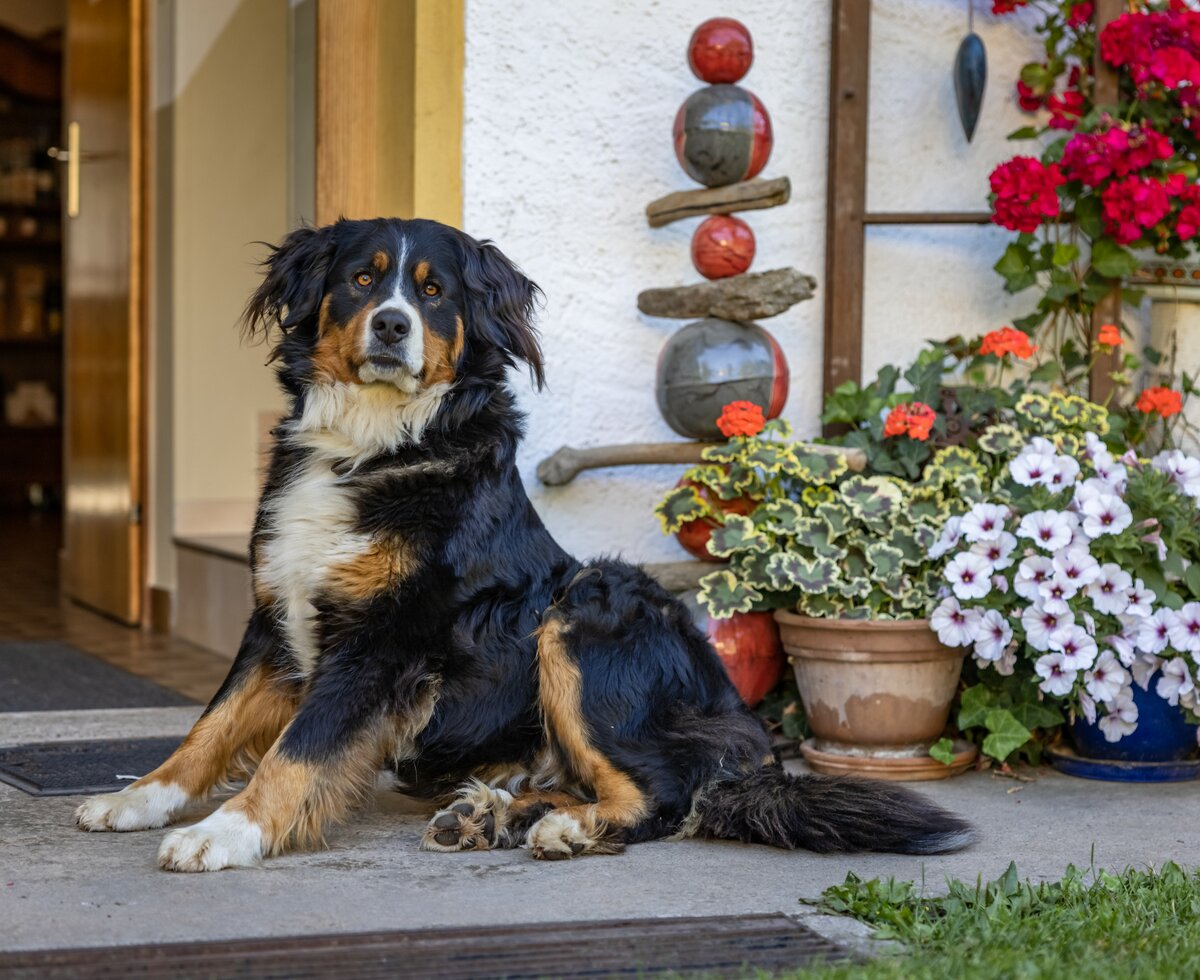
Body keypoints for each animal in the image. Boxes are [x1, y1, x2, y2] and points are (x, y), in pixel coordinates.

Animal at [75, 218, 974, 868]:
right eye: (362, 279)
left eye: (433, 294)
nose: (392, 325)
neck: (376, 445)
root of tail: (740, 733)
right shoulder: (277, 622)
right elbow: (211, 726)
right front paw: (138, 798)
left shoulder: (379, 643)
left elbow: (297, 752)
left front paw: (223, 834)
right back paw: (491, 813)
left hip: (585, 610)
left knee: (664, 796)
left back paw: (556, 827)